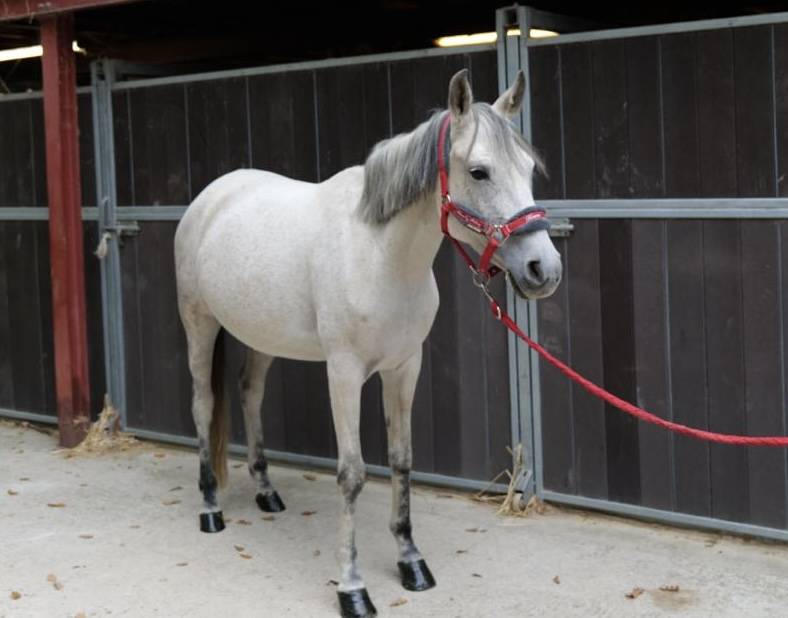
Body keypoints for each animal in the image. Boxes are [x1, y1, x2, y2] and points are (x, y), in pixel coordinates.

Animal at [174, 68, 562, 618]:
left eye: (528, 168)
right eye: (480, 172)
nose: (543, 269)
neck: (381, 255)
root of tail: (209, 199)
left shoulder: (404, 367)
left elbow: (402, 460)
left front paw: (411, 562)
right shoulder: (344, 372)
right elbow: (352, 474)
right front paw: (352, 588)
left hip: (261, 335)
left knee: (250, 393)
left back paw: (267, 491)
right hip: (200, 324)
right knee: (204, 404)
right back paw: (210, 507)